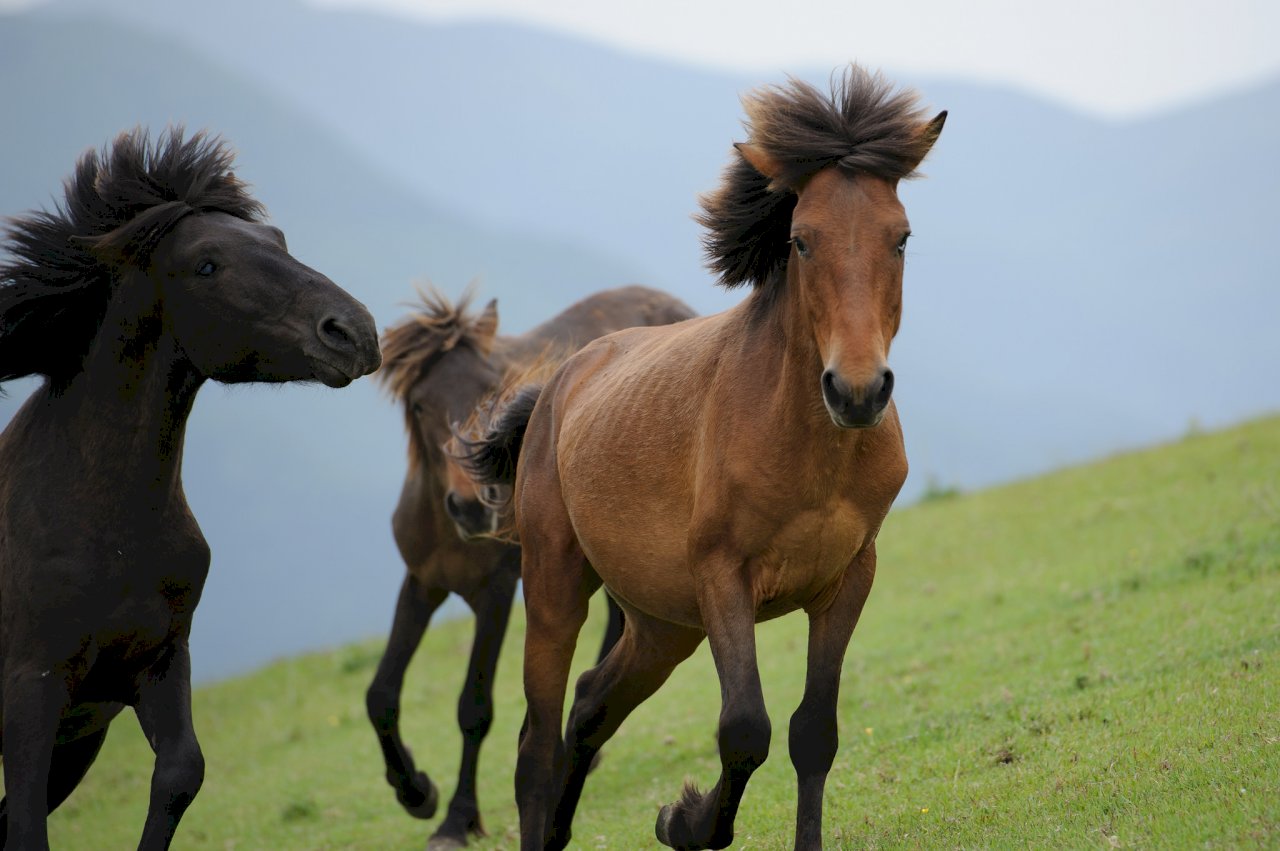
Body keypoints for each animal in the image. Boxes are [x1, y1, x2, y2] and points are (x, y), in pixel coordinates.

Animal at [0, 127, 381, 849]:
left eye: (279, 240)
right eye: (207, 265)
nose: (353, 333)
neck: (101, 525)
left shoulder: (156, 664)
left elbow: (180, 773)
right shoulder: (32, 685)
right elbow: (26, 827)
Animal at [367, 284, 695, 849]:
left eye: (489, 388)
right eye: (420, 404)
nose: (473, 507)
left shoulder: (496, 592)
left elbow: (473, 708)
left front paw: (456, 820)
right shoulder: (422, 583)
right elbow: (381, 693)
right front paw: (415, 792)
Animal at [462, 66, 945, 850]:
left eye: (900, 238)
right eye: (802, 241)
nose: (857, 390)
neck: (809, 449)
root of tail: (562, 380)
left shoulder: (847, 579)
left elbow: (815, 732)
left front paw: (683, 818)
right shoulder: (724, 578)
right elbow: (745, 728)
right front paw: (687, 820)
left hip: (664, 624)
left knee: (591, 706)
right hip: (558, 584)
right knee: (536, 744)